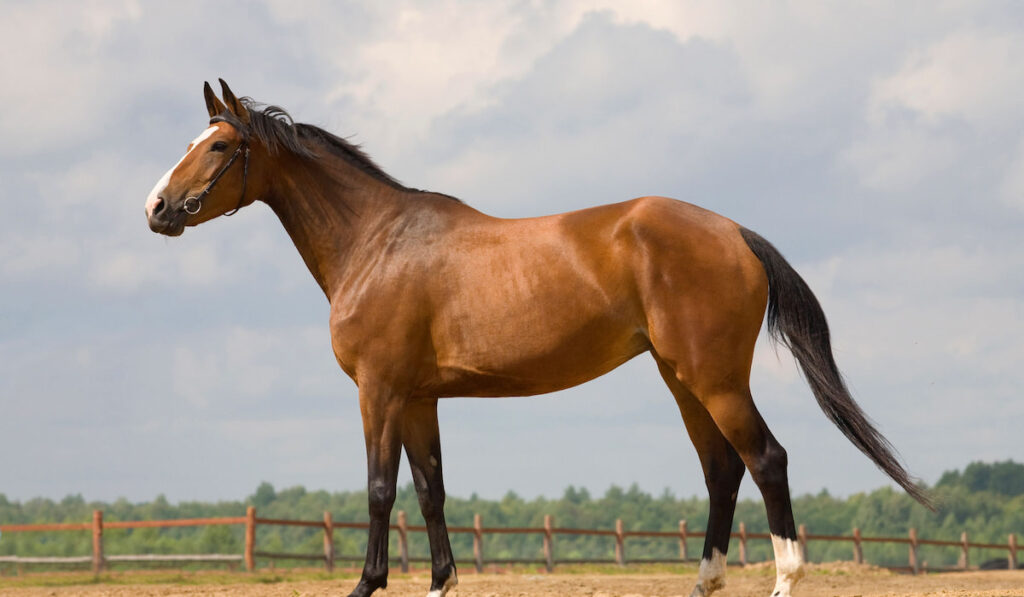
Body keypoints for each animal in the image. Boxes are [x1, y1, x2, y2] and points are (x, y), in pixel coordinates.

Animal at [146, 80, 937, 597]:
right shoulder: (420, 398)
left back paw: (782, 578)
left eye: (219, 145)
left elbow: (378, 490)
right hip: (681, 380)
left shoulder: (380, 390)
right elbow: (430, 490)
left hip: (713, 378)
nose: (157, 208)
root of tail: (734, 231)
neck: (378, 242)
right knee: (722, 470)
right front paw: (439, 582)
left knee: (765, 460)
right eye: (191, 140)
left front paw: (366, 585)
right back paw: (704, 581)